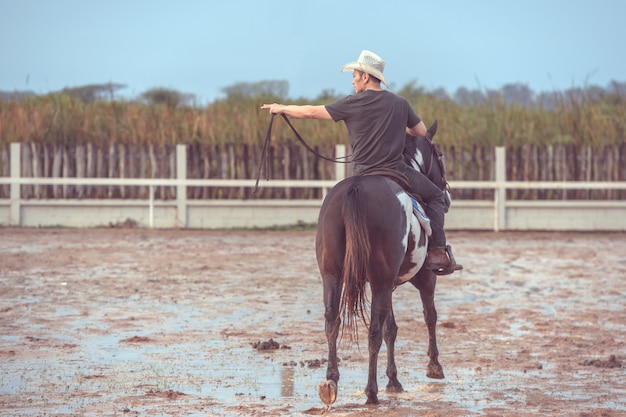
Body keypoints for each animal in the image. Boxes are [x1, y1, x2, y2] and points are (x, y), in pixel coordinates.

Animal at [316, 121, 444, 406]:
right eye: (440, 155)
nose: (445, 188)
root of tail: (356, 188)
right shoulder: (424, 278)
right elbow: (429, 315)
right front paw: (434, 366)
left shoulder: (388, 284)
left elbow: (391, 329)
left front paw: (394, 380)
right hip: (382, 281)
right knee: (373, 331)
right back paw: (371, 392)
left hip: (334, 275)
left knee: (332, 321)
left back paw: (331, 382)